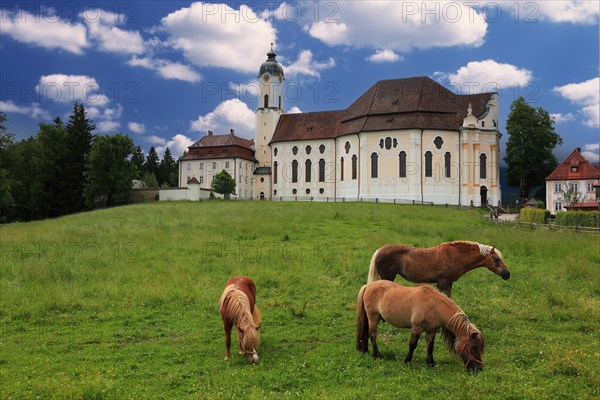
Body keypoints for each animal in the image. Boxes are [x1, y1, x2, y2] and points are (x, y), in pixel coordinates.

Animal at [354, 282, 486, 372]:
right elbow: (412, 345)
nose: (479, 368)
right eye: (474, 347)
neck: (434, 305)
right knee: (372, 335)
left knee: (366, 333)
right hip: (373, 318)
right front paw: (407, 361)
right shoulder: (416, 328)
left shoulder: (432, 331)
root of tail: (368, 286)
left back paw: (365, 350)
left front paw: (431, 362)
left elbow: (430, 346)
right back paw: (377, 354)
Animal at [366, 241, 510, 296]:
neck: (454, 256)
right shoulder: (442, 282)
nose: (507, 274)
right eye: (496, 259)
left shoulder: (449, 283)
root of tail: (379, 250)